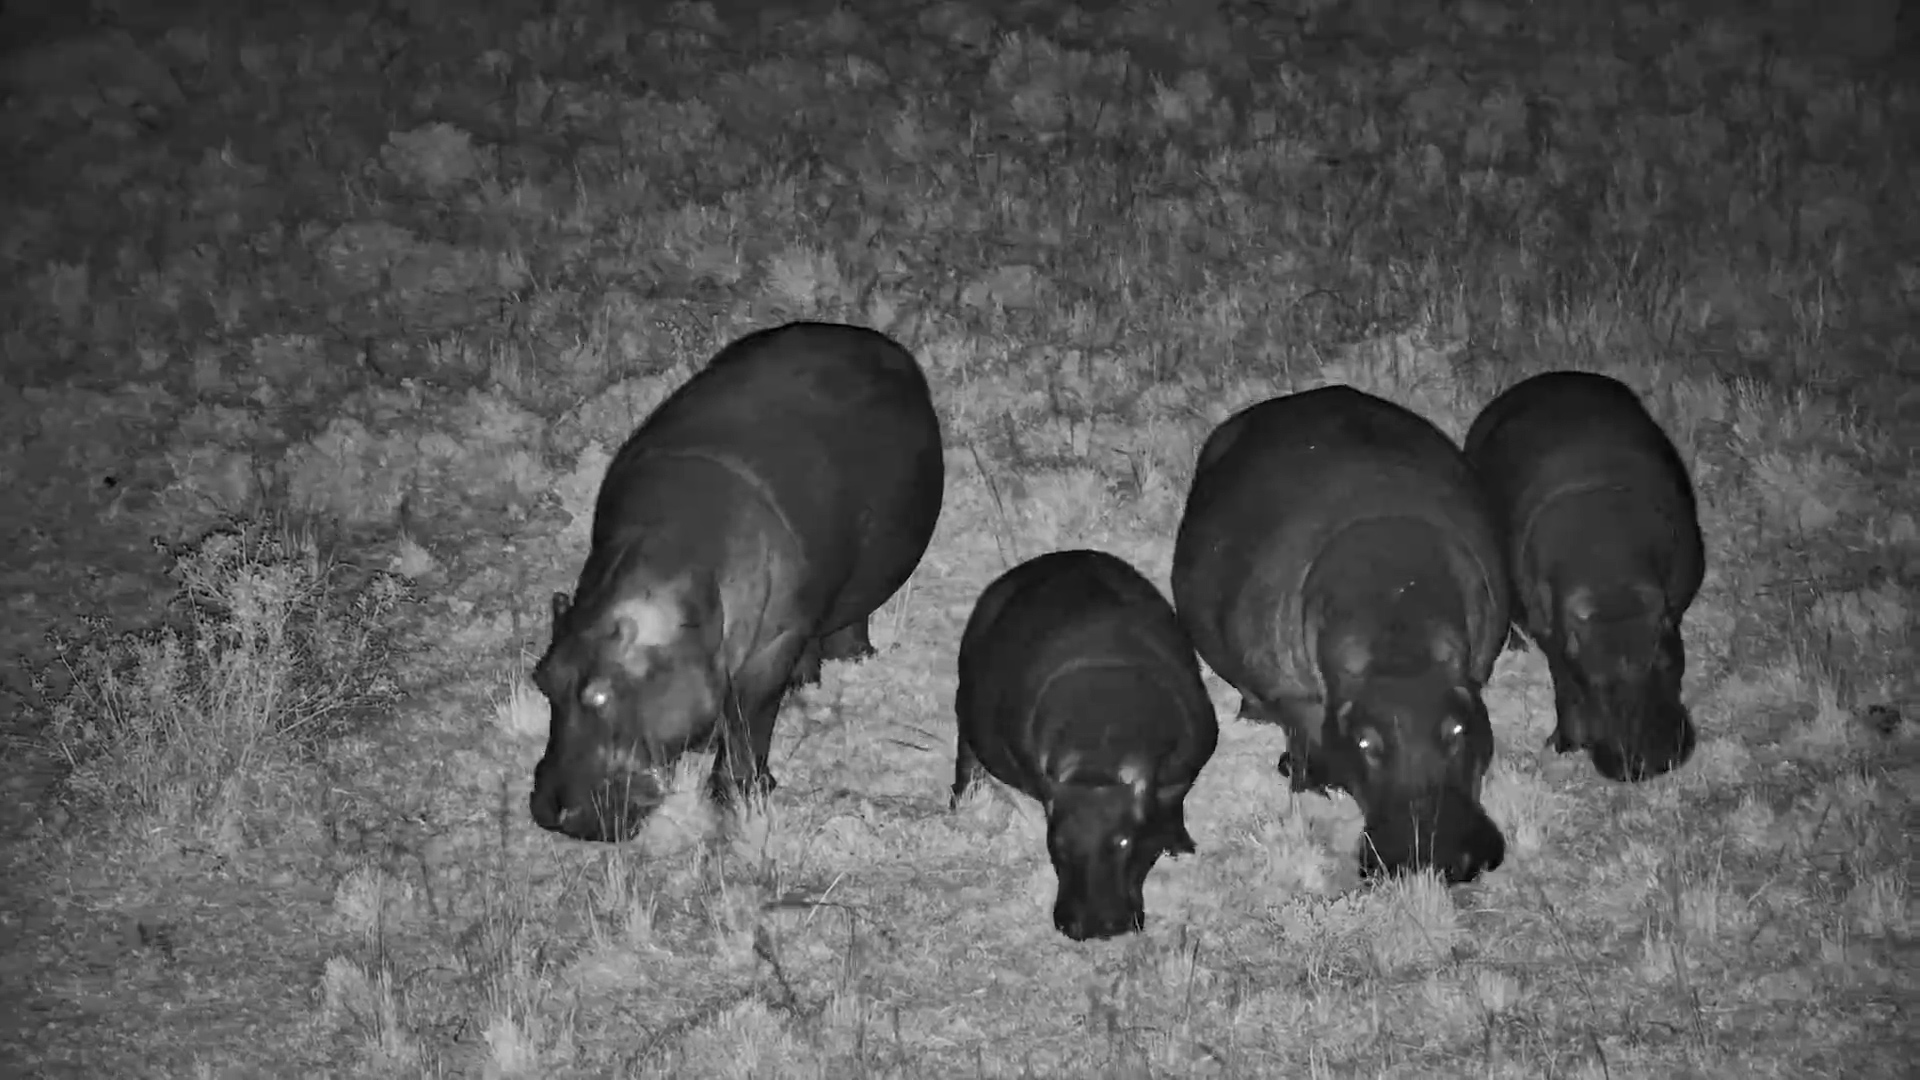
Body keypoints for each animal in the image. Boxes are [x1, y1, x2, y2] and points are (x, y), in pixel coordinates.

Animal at [530, 321, 946, 842]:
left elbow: (749, 722)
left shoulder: (771, 647)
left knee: (849, 623)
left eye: (599, 695)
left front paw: (742, 795)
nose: (549, 812)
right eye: (542, 677)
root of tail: (880, 343)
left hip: (864, 578)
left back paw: (853, 662)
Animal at [952, 549, 1220, 941]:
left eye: (1124, 841)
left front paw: (1182, 848)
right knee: (965, 749)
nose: (1093, 927)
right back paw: (962, 801)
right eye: (1056, 841)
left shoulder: (1179, 776)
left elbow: (1173, 805)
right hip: (965, 700)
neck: (1099, 756)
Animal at [1171, 385, 1510, 884]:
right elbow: (1302, 733)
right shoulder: (1292, 695)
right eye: (1366, 742)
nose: (1433, 858)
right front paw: (1308, 781)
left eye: (1457, 727)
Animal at [1464, 370, 1706, 782]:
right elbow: (1562, 685)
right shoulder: (1553, 634)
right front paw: (1561, 745)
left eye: (1664, 657)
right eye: (1590, 677)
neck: (1609, 578)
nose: (1646, 765)